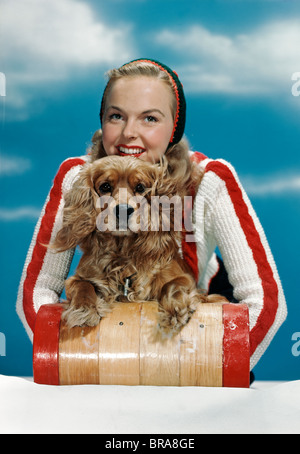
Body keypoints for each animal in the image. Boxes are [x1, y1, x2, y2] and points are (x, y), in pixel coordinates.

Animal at [51, 154, 226, 336]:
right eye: (105, 186)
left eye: (140, 187)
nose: (122, 210)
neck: (122, 255)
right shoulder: (81, 277)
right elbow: (82, 285)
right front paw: (83, 309)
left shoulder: (183, 278)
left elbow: (173, 285)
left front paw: (176, 308)